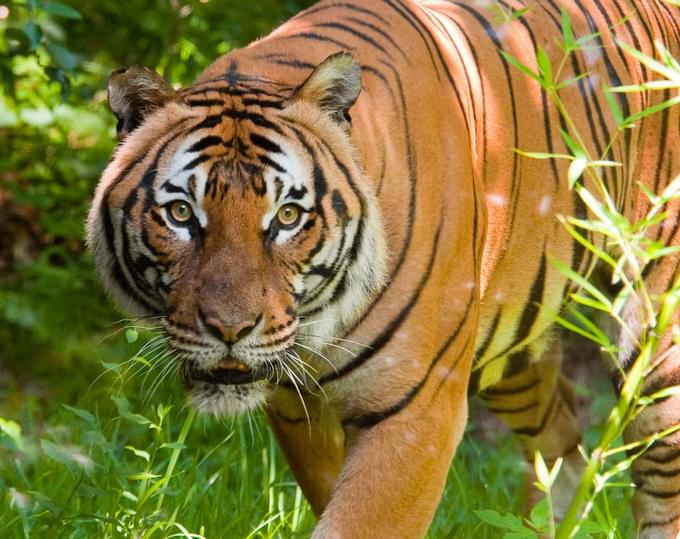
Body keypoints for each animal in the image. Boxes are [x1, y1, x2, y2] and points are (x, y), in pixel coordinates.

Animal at [85, 1, 680, 536]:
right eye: (182, 214)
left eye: (287, 216)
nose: (229, 330)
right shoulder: (298, 408)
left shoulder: (416, 411)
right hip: (510, 346)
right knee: (561, 435)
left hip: (654, 351)